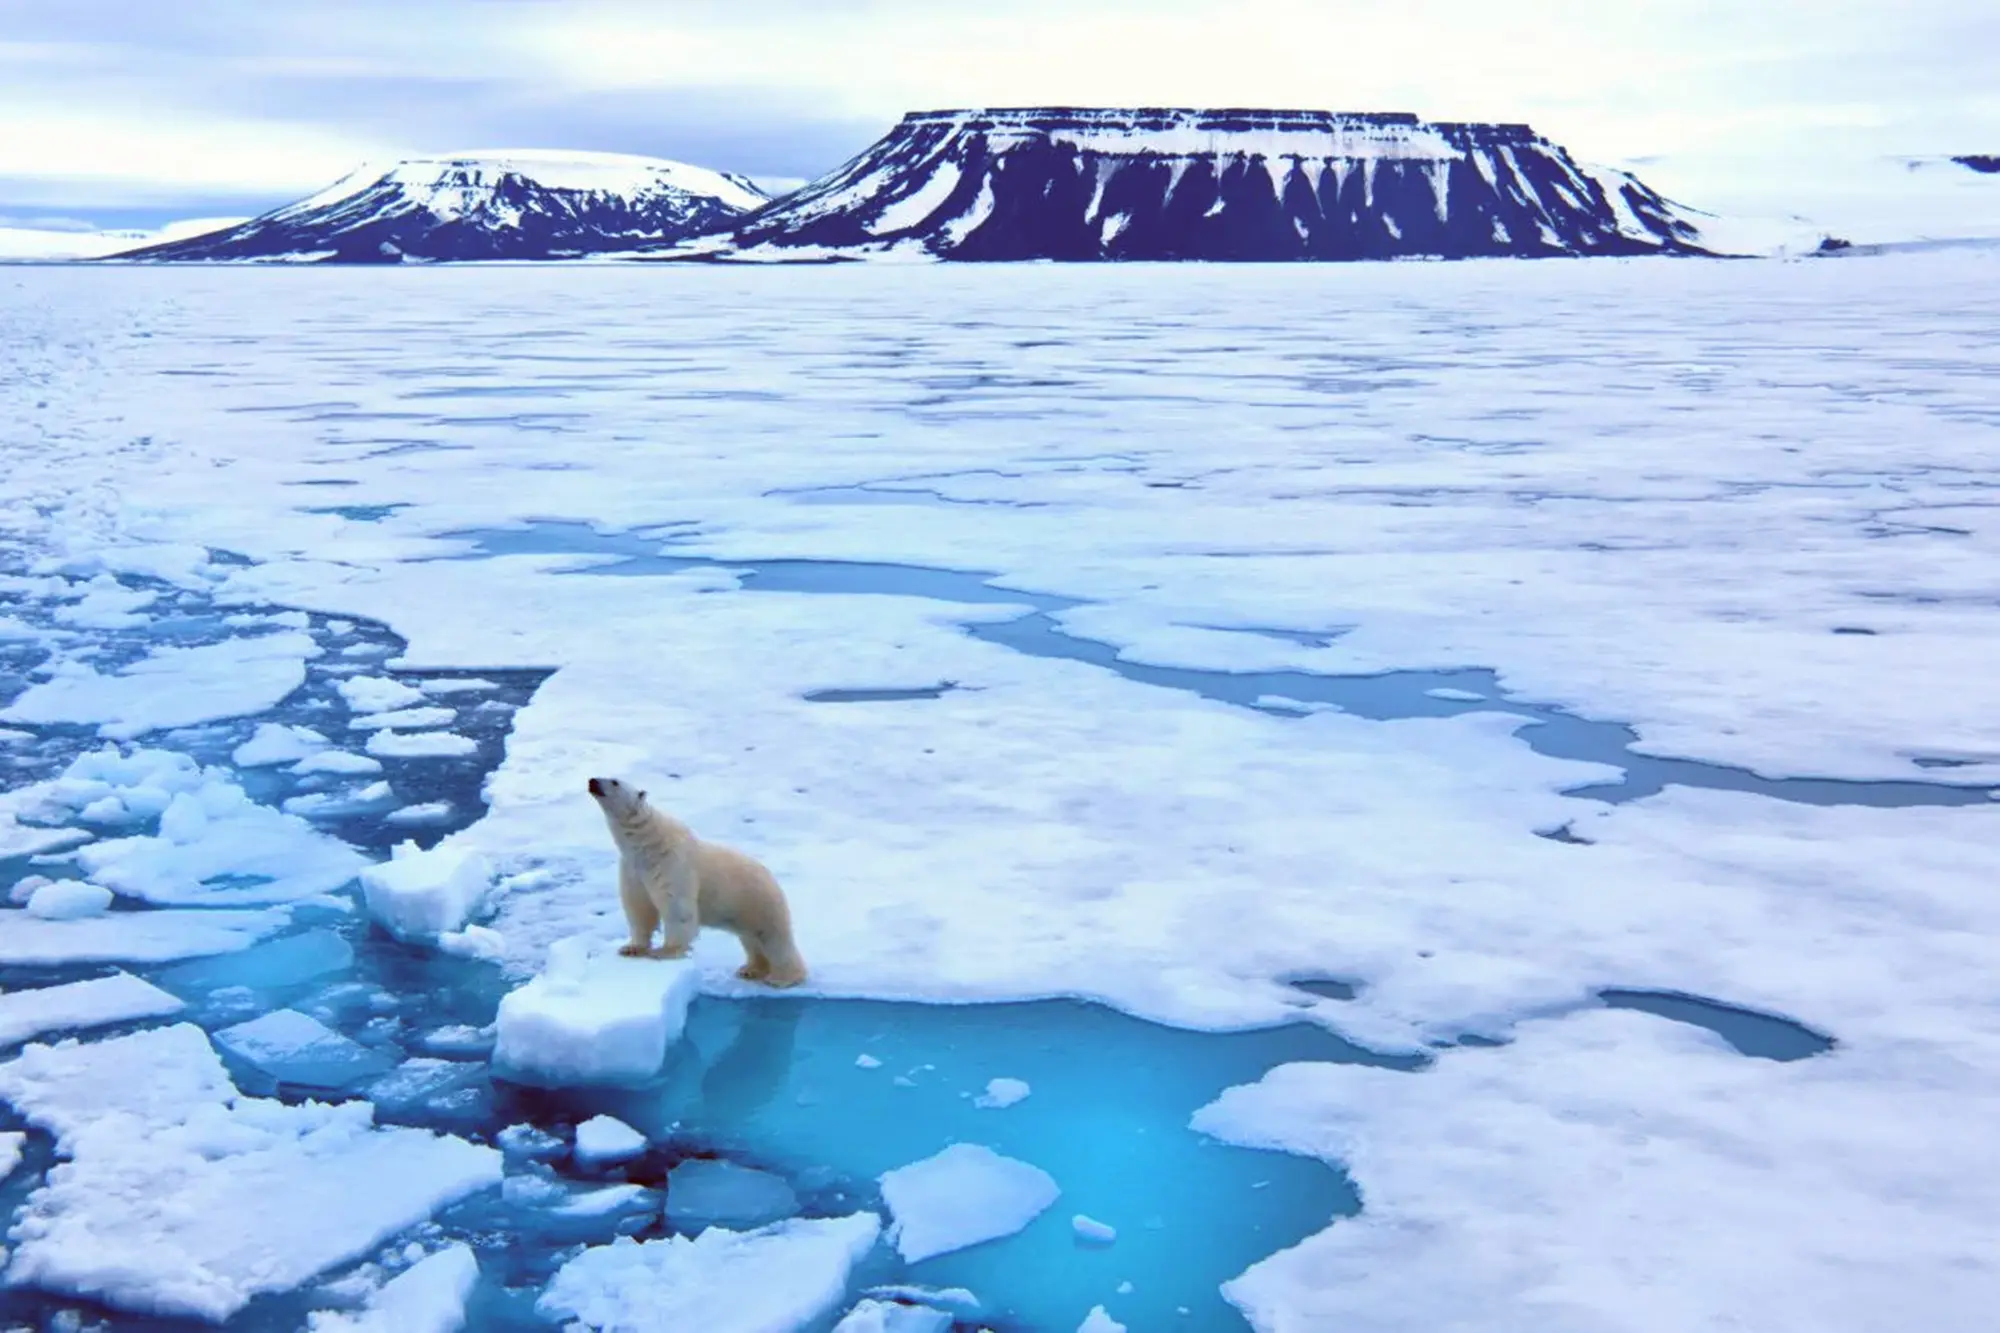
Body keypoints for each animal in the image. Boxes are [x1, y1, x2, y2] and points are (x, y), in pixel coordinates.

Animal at [588, 772, 808, 980]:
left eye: (615, 782)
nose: (592, 781)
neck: (647, 844)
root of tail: (773, 879)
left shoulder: (672, 863)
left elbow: (677, 908)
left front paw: (666, 951)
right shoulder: (633, 869)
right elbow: (639, 907)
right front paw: (631, 948)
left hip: (759, 902)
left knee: (773, 938)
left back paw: (782, 977)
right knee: (751, 939)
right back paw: (750, 970)